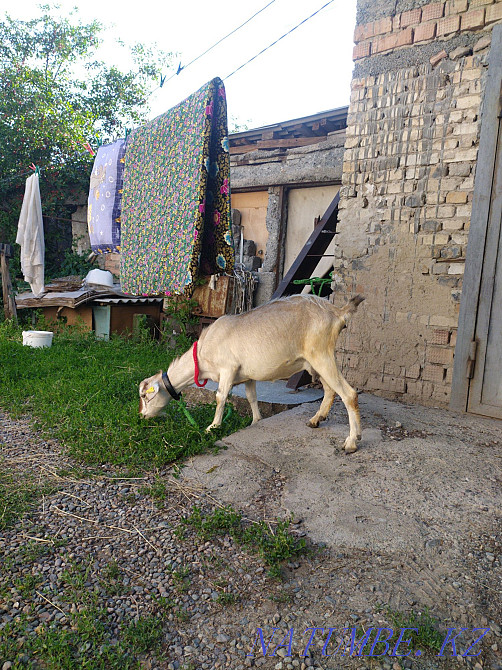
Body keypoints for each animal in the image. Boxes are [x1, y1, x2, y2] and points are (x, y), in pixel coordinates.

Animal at [139, 293, 364, 453]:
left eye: (145, 396)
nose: (142, 416)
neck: (202, 356)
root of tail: (337, 311)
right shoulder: (247, 376)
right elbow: (251, 397)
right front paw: (256, 421)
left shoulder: (228, 368)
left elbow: (220, 397)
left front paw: (212, 427)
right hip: (316, 362)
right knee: (330, 390)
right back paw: (316, 420)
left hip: (321, 354)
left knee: (349, 394)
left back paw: (352, 442)